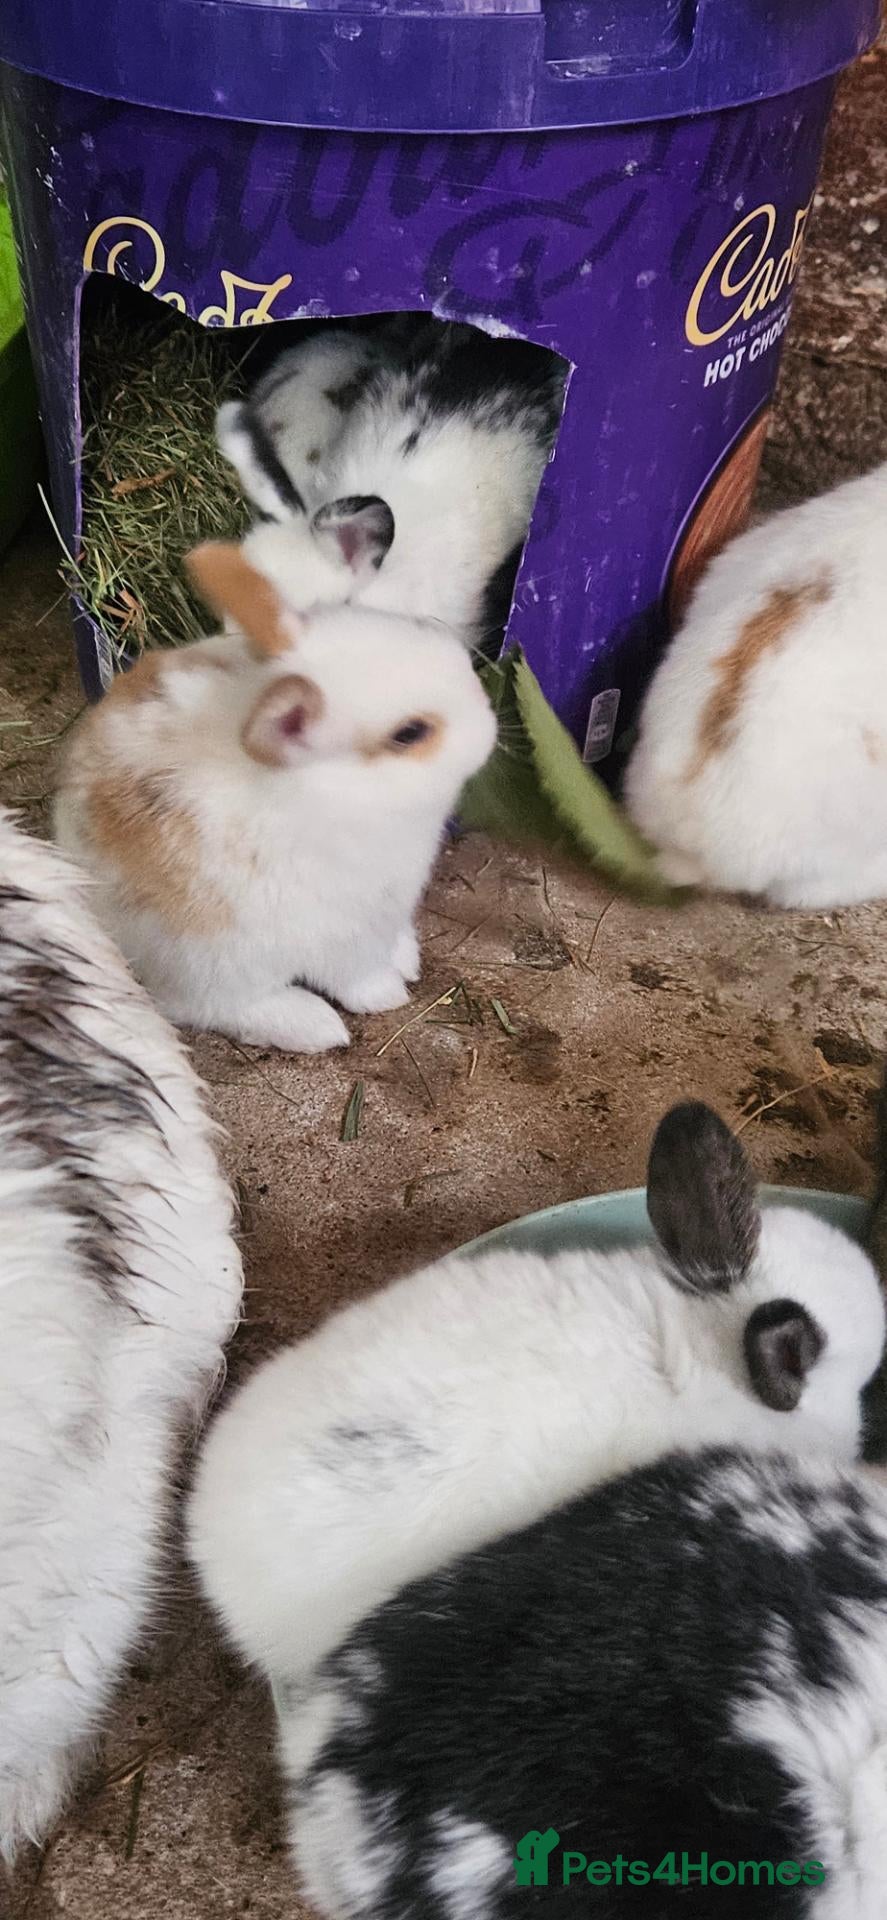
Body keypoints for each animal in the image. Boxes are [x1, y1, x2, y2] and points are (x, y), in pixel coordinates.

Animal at [53, 523, 497, 1053]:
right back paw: (316, 1026)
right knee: (208, 1007)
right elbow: (359, 978)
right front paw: (389, 995)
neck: (345, 791)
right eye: (409, 733)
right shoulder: (348, 931)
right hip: (214, 962)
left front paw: (405, 958)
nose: (489, 718)